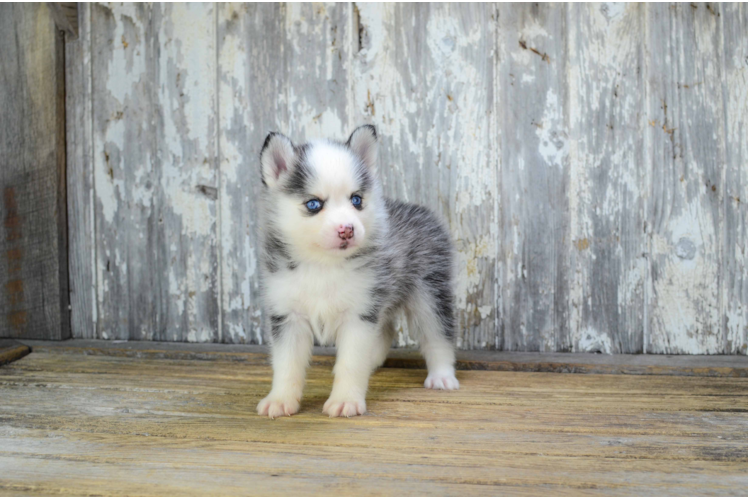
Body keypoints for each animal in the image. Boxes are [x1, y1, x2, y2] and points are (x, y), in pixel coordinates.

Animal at [256, 125, 456, 418]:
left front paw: (345, 400)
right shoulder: (288, 315)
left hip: (429, 294)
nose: (347, 229)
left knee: (438, 336)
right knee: (386, 331)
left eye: (356, 200)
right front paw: (280, 399)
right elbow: (286, 365)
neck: (323, 266)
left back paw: (442, 375)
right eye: (314, 204)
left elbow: (350, 363)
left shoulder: (358, 316)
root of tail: (418, 209)